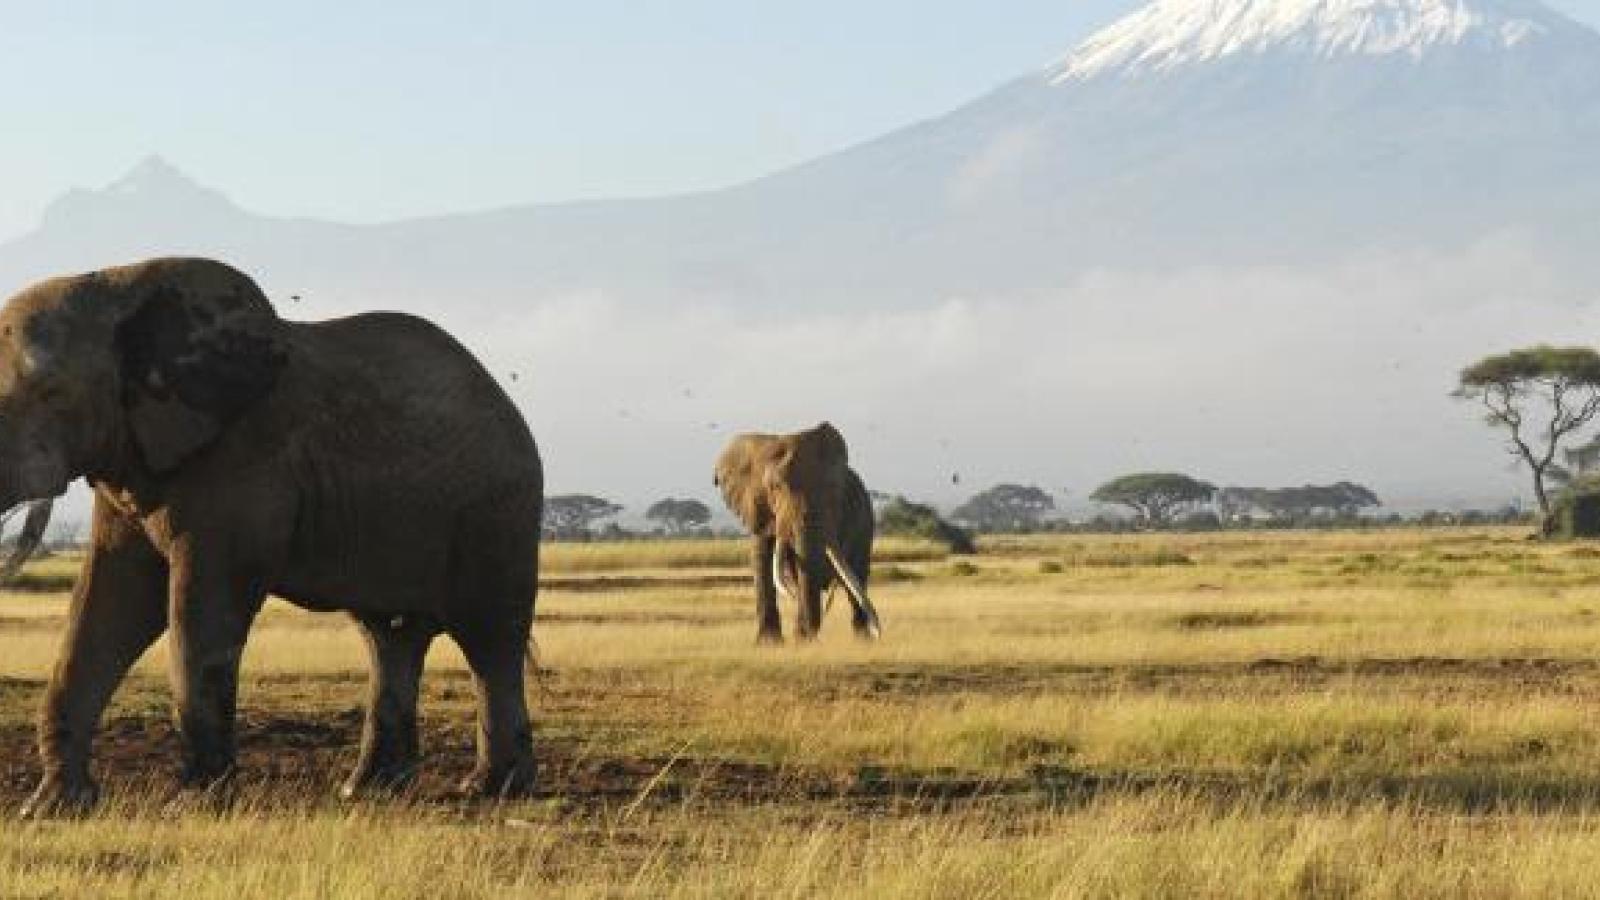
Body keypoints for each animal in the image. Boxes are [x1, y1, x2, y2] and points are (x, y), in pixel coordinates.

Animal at [0, 254, 544, 813]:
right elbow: (109, 605)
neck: (118, 286)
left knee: (490, 640)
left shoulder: (242, 462)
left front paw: (195, 805)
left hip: (498, 511)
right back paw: (366, 789)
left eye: (52, 393)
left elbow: (201, 609)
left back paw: (492, 789)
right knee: (391, 638)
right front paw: (52, 807)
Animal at [716, 422, 883, 640]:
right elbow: (762, 559)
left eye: (835, 489)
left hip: (866, 522)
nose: (805, 636)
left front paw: (801, 640)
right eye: (775, 487)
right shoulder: (756, 506)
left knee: (857, 575)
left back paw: (862, 640)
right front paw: (769, 643)